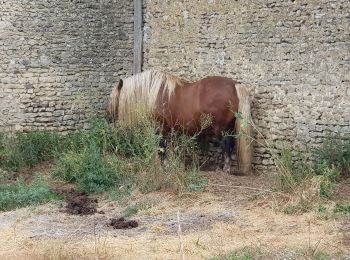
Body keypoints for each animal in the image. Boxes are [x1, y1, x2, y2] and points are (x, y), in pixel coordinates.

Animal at [105, 69, 253, 175]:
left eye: (113, 98)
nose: (107, 117)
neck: (155, 94)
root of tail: (235, 85)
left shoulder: (160, 128)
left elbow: (162, 148)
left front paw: (164, 167)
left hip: (221, 128)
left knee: (226, 145)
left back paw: (225, 169)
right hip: (229, 128)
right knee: (230, 145)